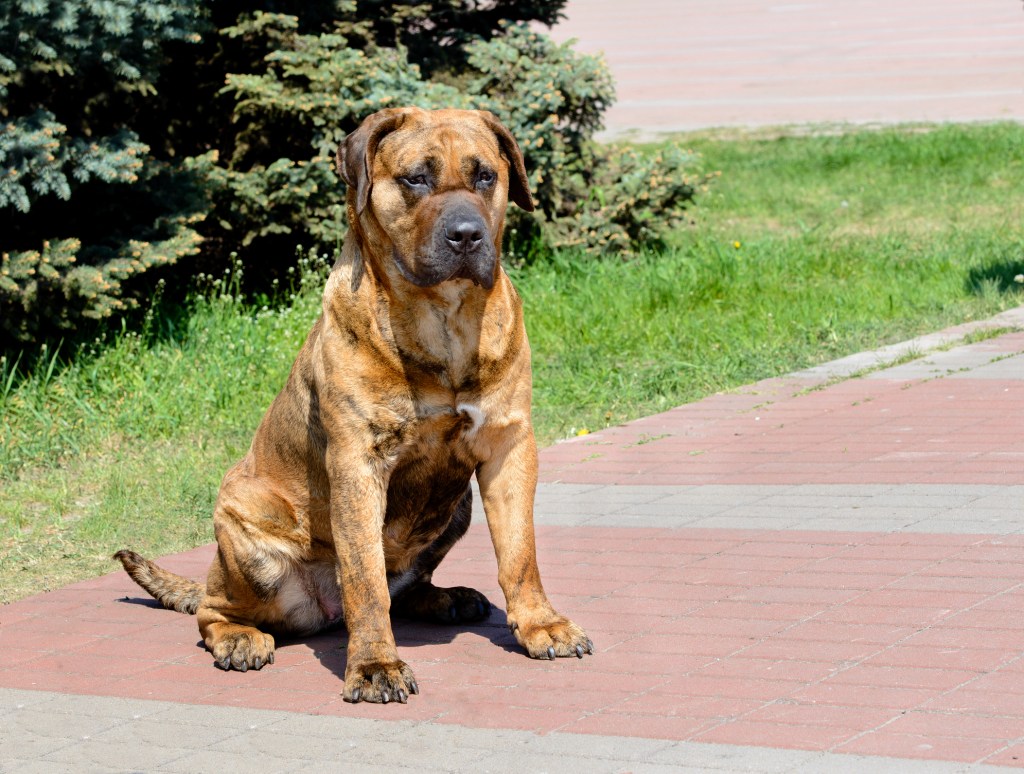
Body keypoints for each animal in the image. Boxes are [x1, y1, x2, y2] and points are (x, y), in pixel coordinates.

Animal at [114, 105, 593, 704]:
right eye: (416, 178)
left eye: (485, 176)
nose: (467, 235)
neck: (443, 321)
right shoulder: (358, 463)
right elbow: (365, 577)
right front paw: (374, 666)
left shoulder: (509, 446)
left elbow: (520, 552)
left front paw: (540, 624)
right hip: (243, 532)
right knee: (213, 609)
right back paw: (240, 638)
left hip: (456, 506)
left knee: (406, 583)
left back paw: (447, 597)